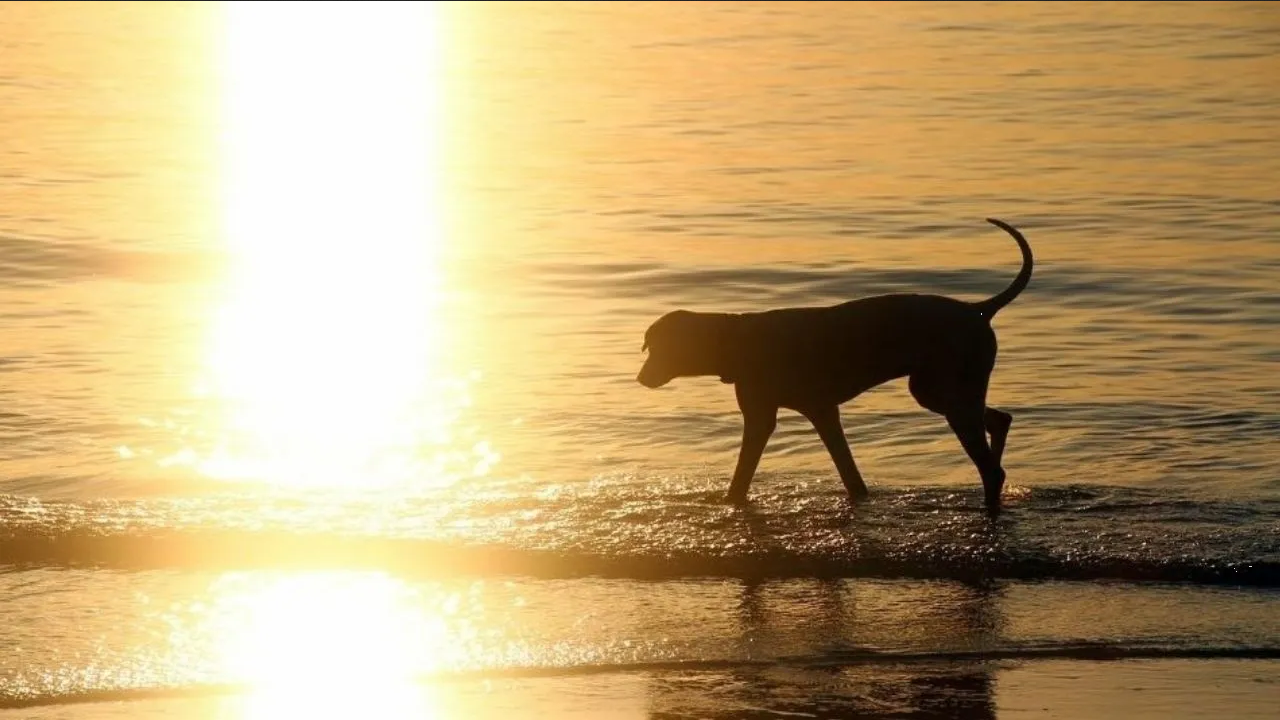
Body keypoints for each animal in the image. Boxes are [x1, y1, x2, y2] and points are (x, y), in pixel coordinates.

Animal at [634, 217, 1034, 509]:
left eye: (657, 347)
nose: (640, 378)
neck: (736, 338)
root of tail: (977, 310)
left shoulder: (775, 416)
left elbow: (746, 467)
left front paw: (730, 500)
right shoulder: (820, 412)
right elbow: (847, 471)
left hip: (947, 391)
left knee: (991, 467)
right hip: (938, 390)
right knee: (998, 421)